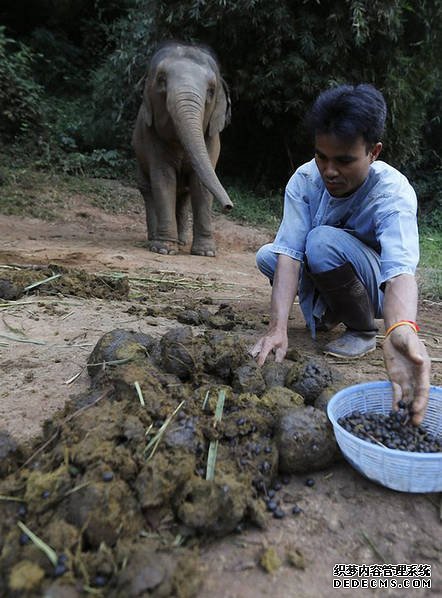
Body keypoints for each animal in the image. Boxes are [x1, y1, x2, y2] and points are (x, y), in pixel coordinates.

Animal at [132, 41, 233, 256]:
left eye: (211, 90)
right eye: (161, 80)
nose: (229, 206)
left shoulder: (211, 139)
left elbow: (201, 184)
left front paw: (206, 253)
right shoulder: (151, 138)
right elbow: (163, 179)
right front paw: (164, 249)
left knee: (184, 195)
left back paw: (182, 241)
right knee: (148, 189)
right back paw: (155, 239)